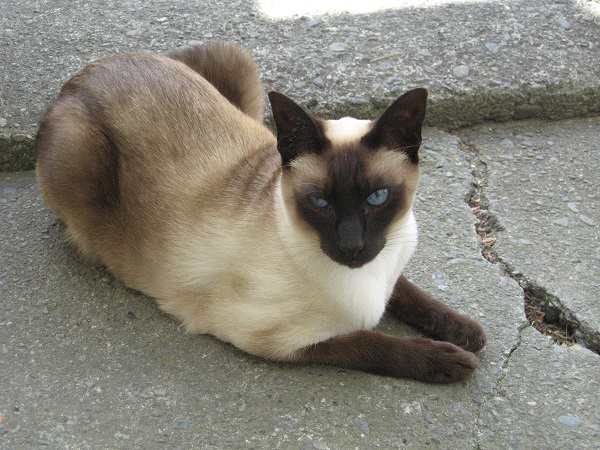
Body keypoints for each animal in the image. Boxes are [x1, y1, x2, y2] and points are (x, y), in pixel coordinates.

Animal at [35, 43, 488, 384]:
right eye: (319, 203)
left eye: (377, 197)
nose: (351, 246)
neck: (367, 277)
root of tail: (84, 74)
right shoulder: (270, 339)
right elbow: (371, 344)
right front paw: (452, 360)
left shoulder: (388, 259)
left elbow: (410, 293)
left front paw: (467, 332)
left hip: (237, 64)